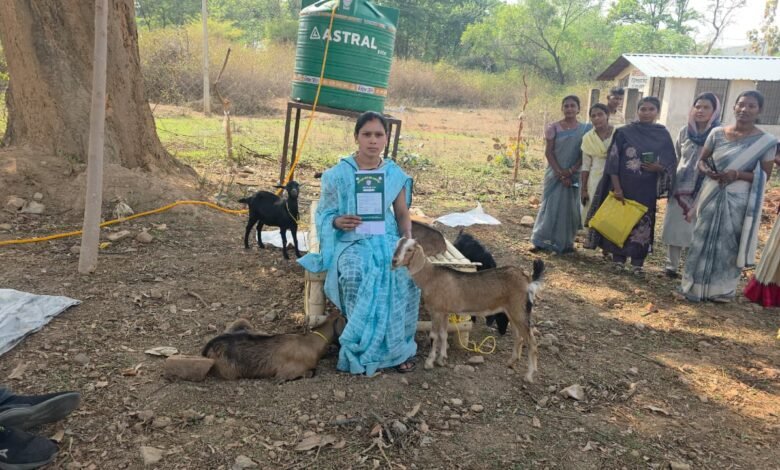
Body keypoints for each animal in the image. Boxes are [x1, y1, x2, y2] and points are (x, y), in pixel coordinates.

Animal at [201, 311, 346, 381]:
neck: (310, 343)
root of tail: (209, 347)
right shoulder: (285, 373)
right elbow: (310, 373)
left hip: (243, 323)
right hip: (230, 373)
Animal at [392, 238, 544, 382]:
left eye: (410, 249)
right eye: (397, 245)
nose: (394, 261)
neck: (430, 277)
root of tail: (527, 279)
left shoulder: (436, 311)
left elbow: (434, 336)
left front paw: (429, 363)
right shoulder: (444, 312)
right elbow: (443, 334)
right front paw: (442, 359)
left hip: (519, 311)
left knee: (532, 342)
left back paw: (529, 375)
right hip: (512, 312)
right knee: (518, 337)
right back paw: (511, 362)